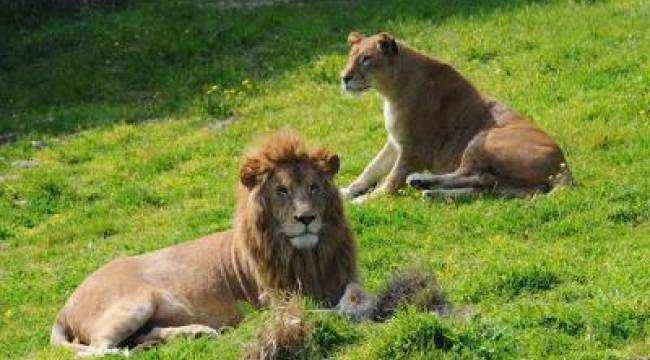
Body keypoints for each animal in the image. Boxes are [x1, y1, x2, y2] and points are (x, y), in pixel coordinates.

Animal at [50, 131, 370, 356]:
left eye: (314, 188)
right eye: (282, 191)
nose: (306, 218)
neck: (308, 257)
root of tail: (64, 307)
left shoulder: (346, 275)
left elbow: (355, 293)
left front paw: (354, 304)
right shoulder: (276, 299)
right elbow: (312, 312)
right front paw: (339, 312)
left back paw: (193, 334)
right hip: (136, 303)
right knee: (96, 350)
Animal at [336, 32, 568, 201]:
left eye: (366, 59)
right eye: (350, 57)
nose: (344, 78)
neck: (390, 91)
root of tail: (563, 165)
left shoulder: (415, 150)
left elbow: (391, 181)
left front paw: (365, 201)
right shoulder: (395, 142)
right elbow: (370, 170)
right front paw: (345, 191)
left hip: (483, 138)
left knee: (475, 176)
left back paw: (421, 181)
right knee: (483, 185)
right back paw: (427, 189)